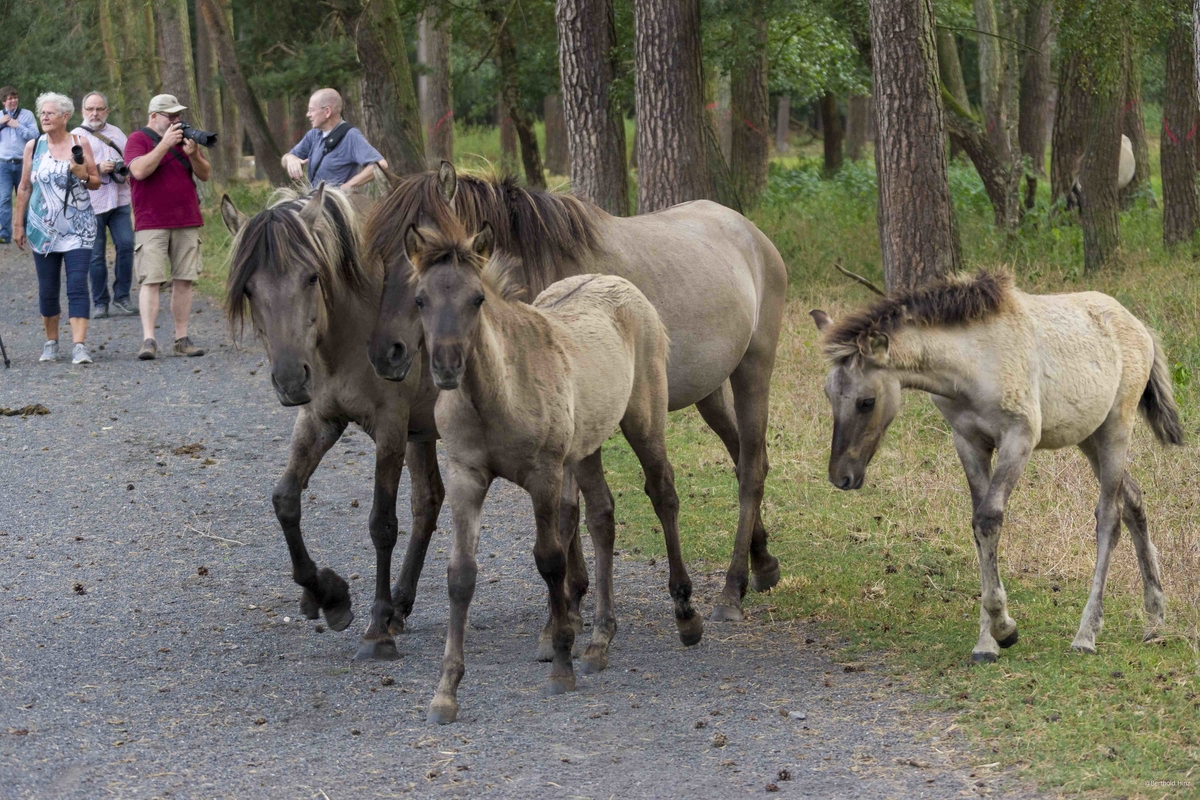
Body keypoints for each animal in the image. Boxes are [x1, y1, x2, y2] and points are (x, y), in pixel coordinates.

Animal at [223, 183, 444, 662]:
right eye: (248, 288)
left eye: (311, 277)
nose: (290, 378)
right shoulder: (319, 419)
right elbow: (285, 500)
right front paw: (328, 594)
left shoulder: (391, 429)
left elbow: (382, 525)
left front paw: (376, 631)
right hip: (424, 434)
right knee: (428, 502)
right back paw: (401, 604)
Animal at [369, 163, 792, 623]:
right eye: (381, 257)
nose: (387, 354)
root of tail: (750, 232)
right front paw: (575, 591)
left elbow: (568, 509)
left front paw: (570, 595)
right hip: (710, 391)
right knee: (744, 456)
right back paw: (763, 563)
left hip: (753, 369)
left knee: (750, 470)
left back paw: (733, 589)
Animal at [405, 220, 700, 724]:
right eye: (421, 299)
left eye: (476, 299)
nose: (446, 367)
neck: (496, 394)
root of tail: (620, 284)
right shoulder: (466, 475)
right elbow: (461, 574)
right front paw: (446, 692)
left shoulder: (542, 474)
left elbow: (549, 559)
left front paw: (562, 663)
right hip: (586, 448)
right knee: (601, 515)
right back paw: (600, 639)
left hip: (643, 421)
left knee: (663, 494)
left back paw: (684, 615)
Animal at [806, 272, 1180, 662]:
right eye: (828, 393)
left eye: (867, 401)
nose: (841, 475)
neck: (973, 362)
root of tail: (1139, 327)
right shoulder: (968, 441)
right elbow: (978, 525)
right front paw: (987, 641)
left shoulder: (1019, 438)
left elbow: (989, 518)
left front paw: (1004, 627)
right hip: (1088, 436)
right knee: (1133, 498)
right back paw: (1155, 618)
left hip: (1115, 429)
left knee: (1109, 516)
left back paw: (1087, 633)